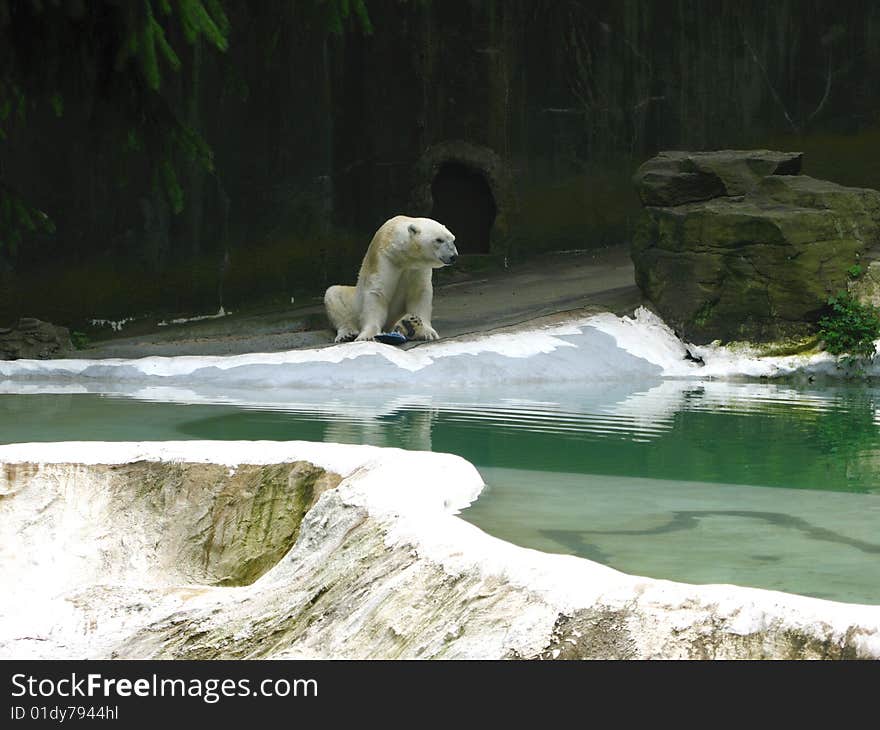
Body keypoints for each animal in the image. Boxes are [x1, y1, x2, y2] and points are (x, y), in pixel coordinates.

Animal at [324, 215, 460, 342]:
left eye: (453, 239)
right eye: (439, 240)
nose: (454, 256)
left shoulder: (417, 268)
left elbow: (419, 294)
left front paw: (427, 332)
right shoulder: (384, 259)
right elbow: (377, 293)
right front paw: (367, 336)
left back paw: (409, 325)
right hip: (353, 302)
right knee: (333, 295)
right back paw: (346, 334)